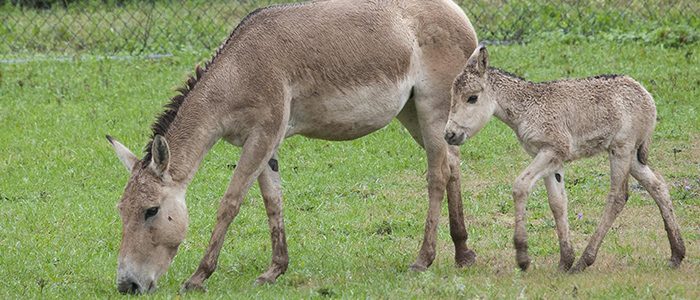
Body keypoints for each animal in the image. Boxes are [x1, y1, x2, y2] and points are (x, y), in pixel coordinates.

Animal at [108, 0, 482, 294]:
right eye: (121, 211)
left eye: (151, 210)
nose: (128, 286)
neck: (240, 69)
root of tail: (457, 12)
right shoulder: (263, 142)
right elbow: (273, 200)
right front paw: (275, 269)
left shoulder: (262, 136)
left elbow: (230, 202)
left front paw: (199, 276)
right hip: (413, 113)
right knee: (453, 165)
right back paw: (463, 252)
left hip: (432, 108)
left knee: (437, 175)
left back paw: (423, 259)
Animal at [448, 45, 684, 274]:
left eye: (472, 98)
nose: (449, 134)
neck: (527, 108)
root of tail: (646, 95)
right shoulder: (551, 160)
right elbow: (557, 203)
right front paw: (564, 261)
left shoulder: (553, 151)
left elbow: (520, 186)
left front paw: (523, 257)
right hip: (633, 156)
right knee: (658, 185)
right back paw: (677, 254)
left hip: (622, 149)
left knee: (618, 196)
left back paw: (584, 261)